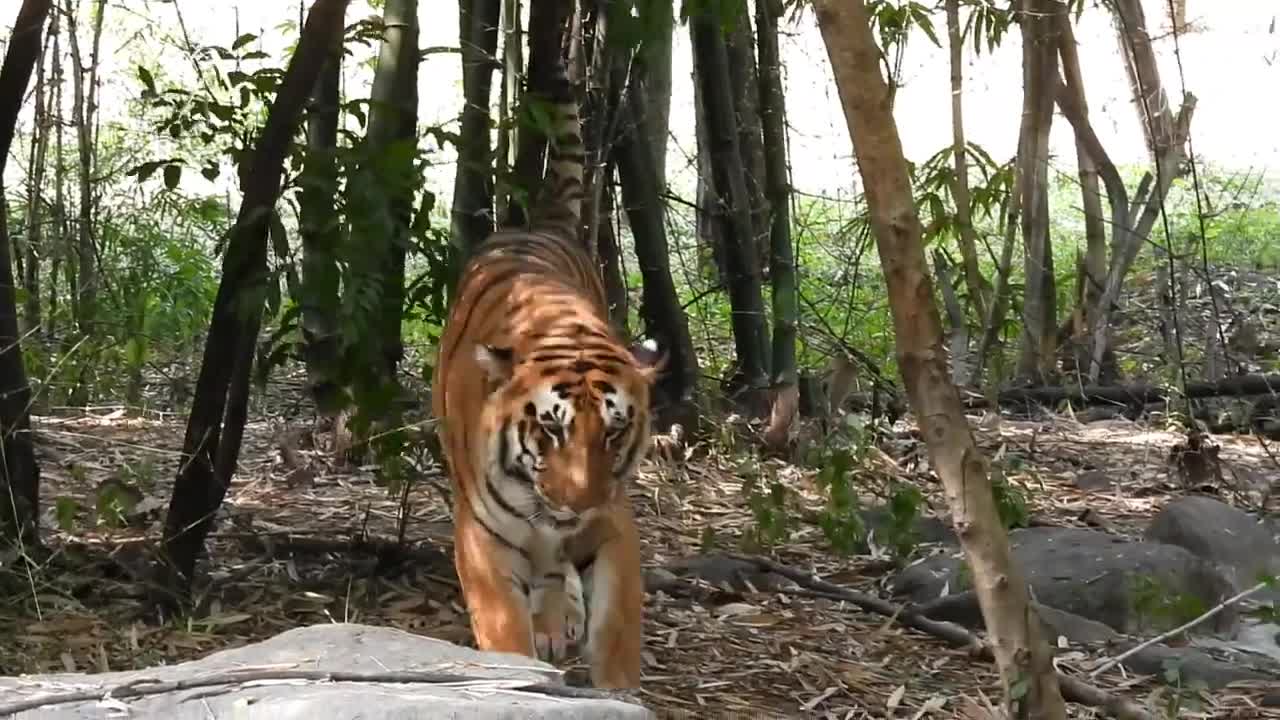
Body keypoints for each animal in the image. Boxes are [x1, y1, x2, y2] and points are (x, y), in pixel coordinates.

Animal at [435, 58, 665, 686]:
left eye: (614, 430)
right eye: (551, 428)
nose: (579, 505)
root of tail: (538, 225)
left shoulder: (613, 526)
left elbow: (616, 629)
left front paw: (616, 690)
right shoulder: (482, 540)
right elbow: (505, 636)